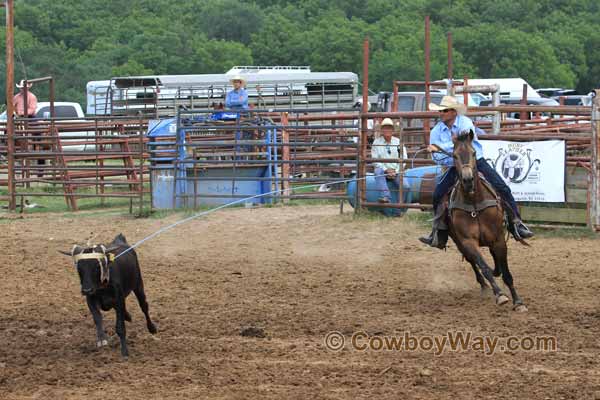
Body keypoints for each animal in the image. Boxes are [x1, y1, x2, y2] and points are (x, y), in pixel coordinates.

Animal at [436, 131, 524, 312]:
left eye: (474, 153)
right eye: (454, 155)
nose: (468, 180)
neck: (474, 203)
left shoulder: (498, 240)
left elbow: (506, 273)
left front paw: (518, 302)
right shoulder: (468, 241)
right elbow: (483, 267)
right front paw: (500, 295)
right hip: (458, 241)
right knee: (473, 262)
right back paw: (484, 286)